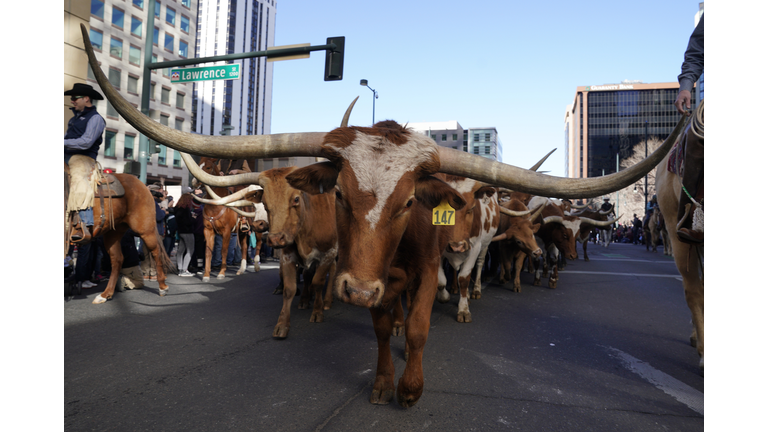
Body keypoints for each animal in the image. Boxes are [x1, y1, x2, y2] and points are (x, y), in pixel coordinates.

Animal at [63, 160, 175, 306]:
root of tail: (141, 184)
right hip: (112, 234)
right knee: (117, 259)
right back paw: (106, 294)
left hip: (146, 230)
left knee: (156, 252)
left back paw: (162, 287)